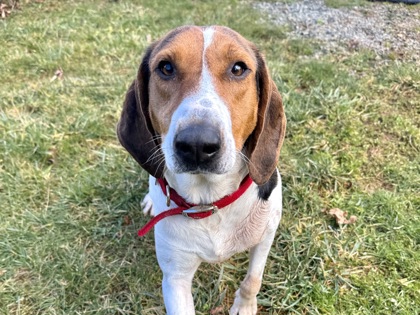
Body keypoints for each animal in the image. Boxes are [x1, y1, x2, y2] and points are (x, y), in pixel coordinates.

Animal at [119, 25, 288, 315]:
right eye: (166, 67)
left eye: (238, 68)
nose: (197, 144)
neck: (210, 202)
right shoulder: (175, 277)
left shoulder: (267, 233)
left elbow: (252, 280)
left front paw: (244, 306)